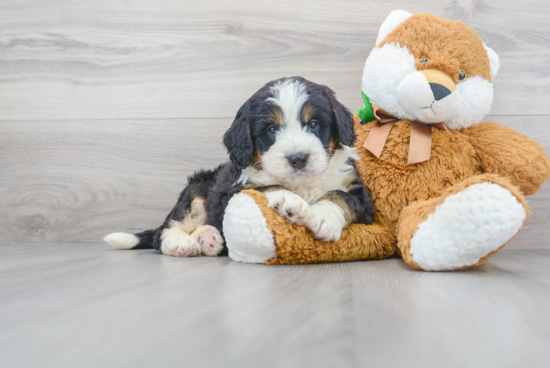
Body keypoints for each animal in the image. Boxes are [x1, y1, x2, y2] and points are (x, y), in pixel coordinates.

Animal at [104, 76, 376, 258]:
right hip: (197, 190)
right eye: (272, 129)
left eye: (313, 124)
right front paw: (290, 200)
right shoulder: (232, 190)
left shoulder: (361, 195)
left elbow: (339, 196)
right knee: (163, 231)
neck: (301, 183)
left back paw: (209, 238)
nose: (298, 158)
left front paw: (321, 217)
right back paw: (181, 243)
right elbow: (264, 187)